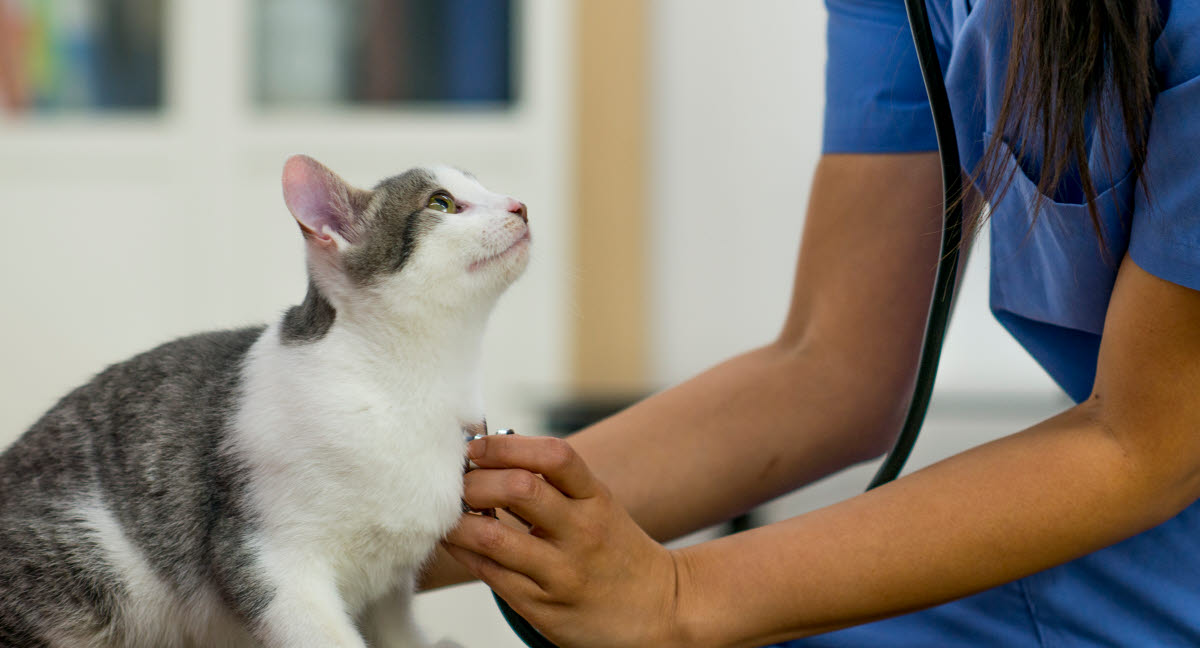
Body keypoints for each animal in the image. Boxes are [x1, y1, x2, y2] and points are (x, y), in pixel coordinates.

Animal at [0, 153, 535, 648]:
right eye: (441, 203)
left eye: (485, 187)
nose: (521, 205)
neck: (408, 387)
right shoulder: (267, 557)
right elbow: (324, 634)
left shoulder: (390, 586)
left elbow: (396, 629)